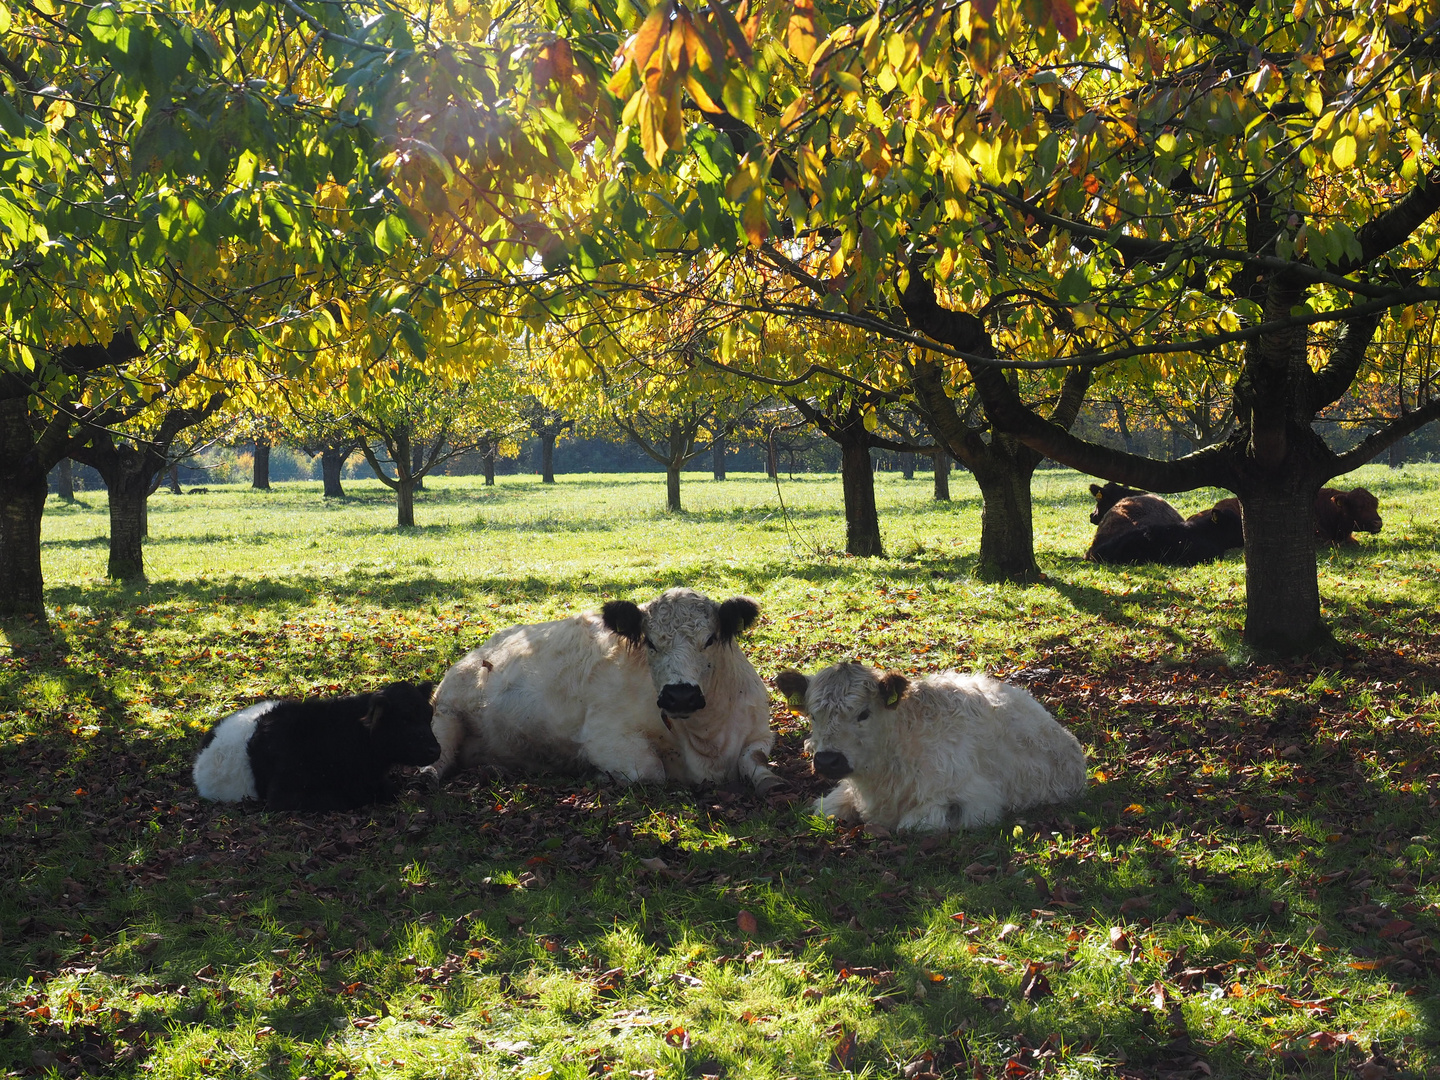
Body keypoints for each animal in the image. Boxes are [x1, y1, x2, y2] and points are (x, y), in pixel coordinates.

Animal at [420, 593, 783, 794]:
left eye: (709, 639)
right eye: (650, 642)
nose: (680, 696)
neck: (707, 741)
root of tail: (479, 651)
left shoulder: (760, 732)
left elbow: (755, 759)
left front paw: (770, 780)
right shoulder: (605, 736)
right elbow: (649, 773)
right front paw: (599, 776)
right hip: (445, 715)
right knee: (440, 756)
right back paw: (425, 776)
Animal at [771, 665, 1082, 835]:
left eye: (864, 713)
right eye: (813, 715)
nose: (827, 760)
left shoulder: (972, 799)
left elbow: (910, 825)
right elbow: (824, 809)